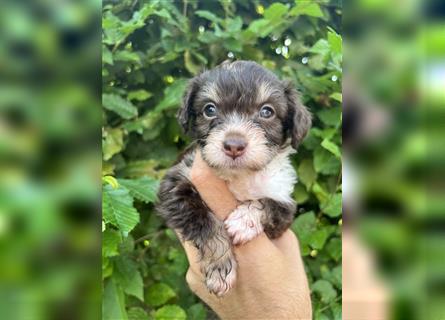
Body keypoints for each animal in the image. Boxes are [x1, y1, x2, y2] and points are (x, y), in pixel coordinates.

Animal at [158, 61, 310, 296]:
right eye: (209, 109)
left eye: (267, 111)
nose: (234, 145)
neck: (239, 175)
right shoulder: (175, 184)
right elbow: (205, 223)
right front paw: (220, 268)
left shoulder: (283, 202)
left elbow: (268, 203)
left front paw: (244, 220)